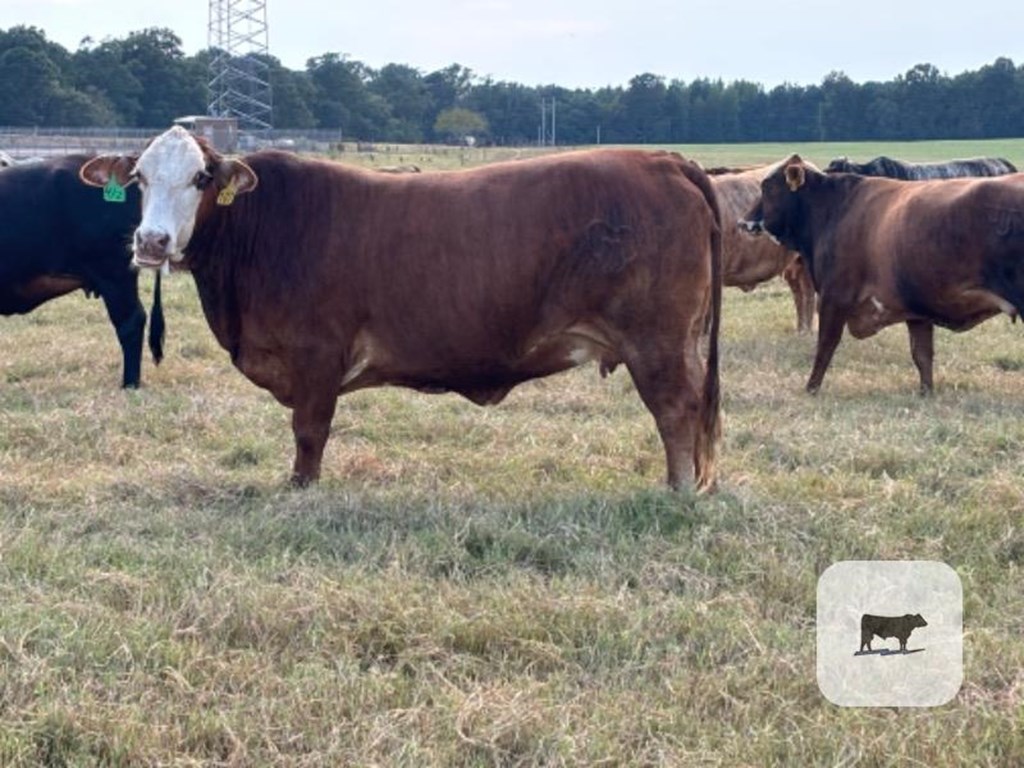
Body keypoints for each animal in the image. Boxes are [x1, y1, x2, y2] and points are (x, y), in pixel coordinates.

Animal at [79, 125, 724, 487]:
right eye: (138, 178)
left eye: (200, 178)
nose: (151, 241)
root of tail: (664, 160)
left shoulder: (318, 356)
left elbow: (309, 432)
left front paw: (301, 488)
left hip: (658, 343)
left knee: (676, 410)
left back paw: (677, 491)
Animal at [741, 156, 1024, 397]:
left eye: (768, 189)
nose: (743, 222)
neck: (833, 209)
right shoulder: (917, 311)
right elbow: (922, 355)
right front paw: (926, 393)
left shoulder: (834, 298)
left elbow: (825, 347)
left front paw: (811, 388)